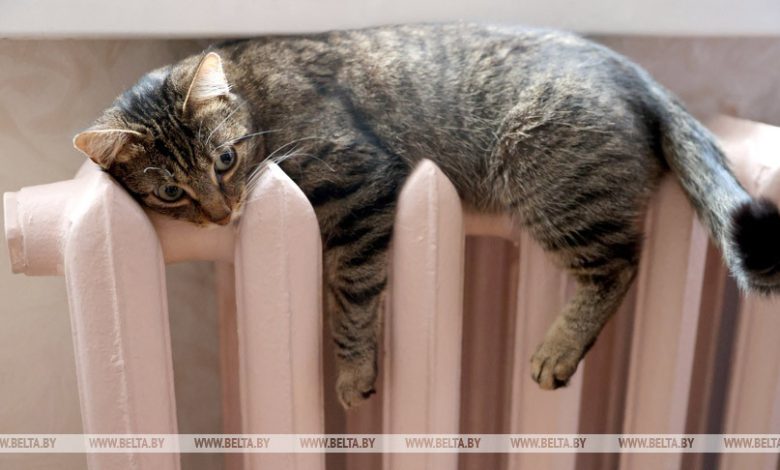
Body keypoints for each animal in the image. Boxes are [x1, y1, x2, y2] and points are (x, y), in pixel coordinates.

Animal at [73, 23, 780, 409]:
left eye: (224, 159)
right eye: (170, 193)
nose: (223, 215)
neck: (256, 99)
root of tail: (635, 72)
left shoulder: (361, 190)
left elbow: (351, 298)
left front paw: (354, 372)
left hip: (544, 176)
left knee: (619, 266)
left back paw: (558, 347)